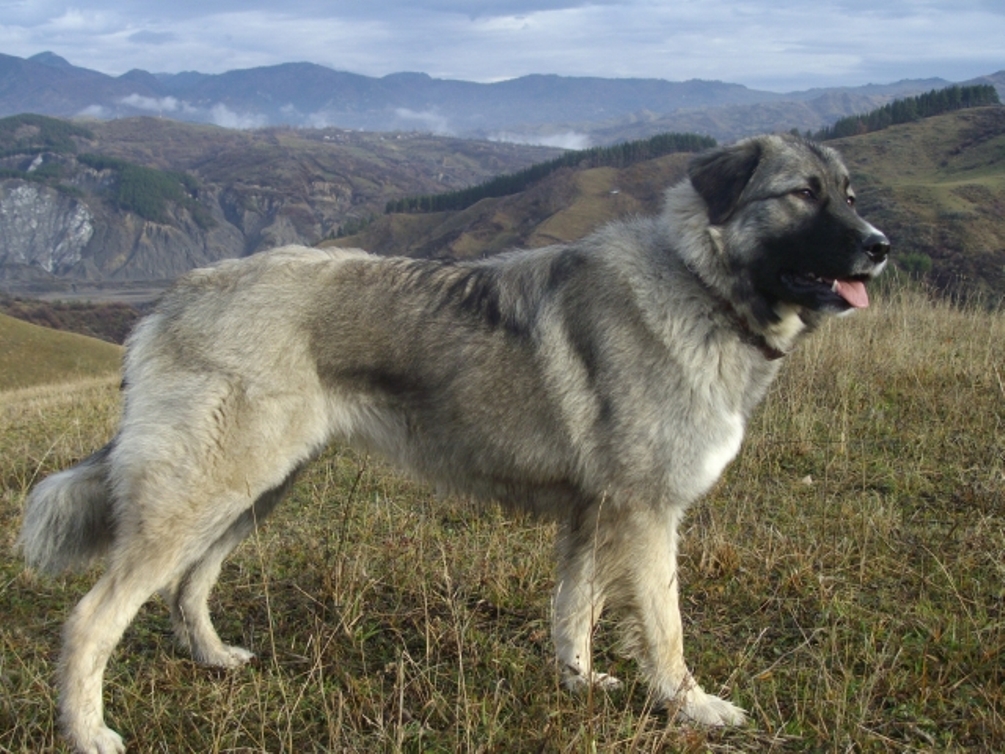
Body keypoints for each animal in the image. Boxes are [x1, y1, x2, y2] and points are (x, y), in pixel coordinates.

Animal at [21, 132, 888, 751]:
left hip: (254, 491)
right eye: (801, 194)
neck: (700, 284)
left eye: (848, 194)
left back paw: (211, 659)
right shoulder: (646, 516)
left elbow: (573, 608)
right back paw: (87, 732)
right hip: (205, 492)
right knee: (92, 619)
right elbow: (664, 630)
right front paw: (691, 707)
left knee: (187, 586)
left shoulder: (594, 514)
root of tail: (174, 296)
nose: (879, 245)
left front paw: (577, 685)